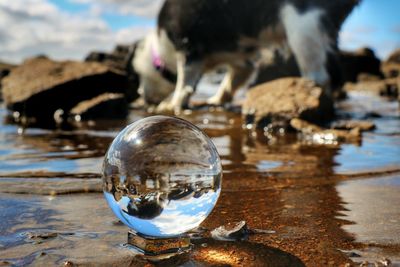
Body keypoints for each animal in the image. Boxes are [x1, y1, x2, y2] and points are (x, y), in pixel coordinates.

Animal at [132, 0, 360, 111]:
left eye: (138, 77)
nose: (141, 96)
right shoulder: (240, 58)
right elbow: (232, 81)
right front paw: (216, 100)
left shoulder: (187, 47)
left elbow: (183, 83)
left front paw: (171, 105)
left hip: (303, 24)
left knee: (318, 75)